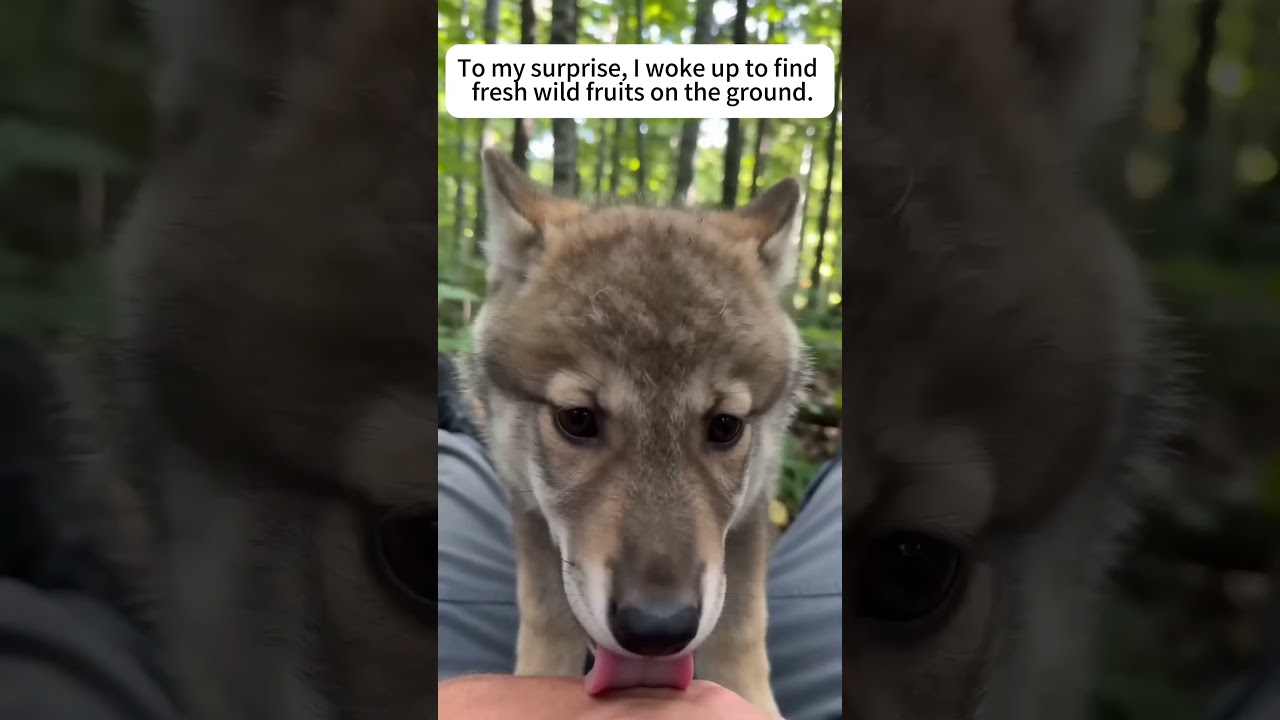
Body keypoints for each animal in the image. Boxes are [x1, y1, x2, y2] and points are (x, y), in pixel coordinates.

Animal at [462, 148, 809, 711]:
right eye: (577, 419)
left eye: (725, 426)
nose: (658, 628)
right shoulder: (527, 509)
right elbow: (543, 613)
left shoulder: (754, 511)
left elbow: (743, 625)